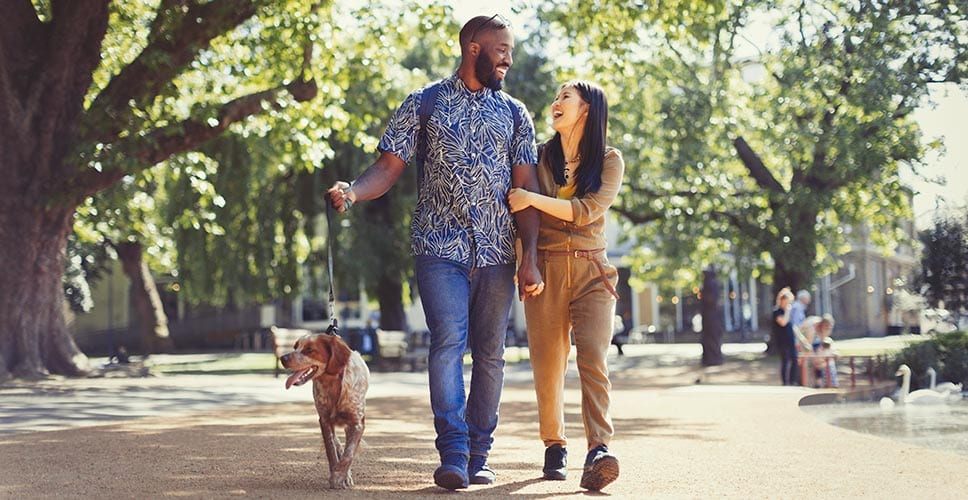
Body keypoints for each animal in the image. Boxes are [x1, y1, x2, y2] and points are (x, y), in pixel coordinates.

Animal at [284, 332, 370, 488]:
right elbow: (332, 449)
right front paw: (337, 475)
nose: (283, 358)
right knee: (338, 444)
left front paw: (339, 477)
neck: (333, 384)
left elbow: (348, 454)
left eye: (309, 350)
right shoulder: (324, 420)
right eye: (295, 347)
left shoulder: (357, 423)